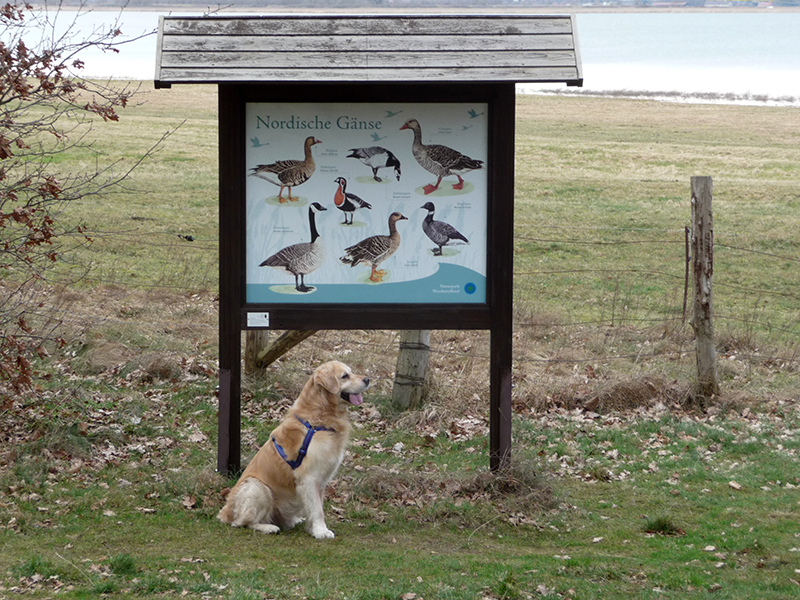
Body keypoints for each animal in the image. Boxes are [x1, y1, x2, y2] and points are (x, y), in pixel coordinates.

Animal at [217, 360, 370, 540]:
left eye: (351, 372)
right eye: (345, 376)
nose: (367, 379)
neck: (319, 419)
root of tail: (224, 513)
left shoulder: (321, 480)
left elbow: (316, 506)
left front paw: (312, 529)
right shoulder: (309, 477)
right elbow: (318, 510)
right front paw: (321, 531)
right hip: (258, 487)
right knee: (242, 522)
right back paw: (268, 527)